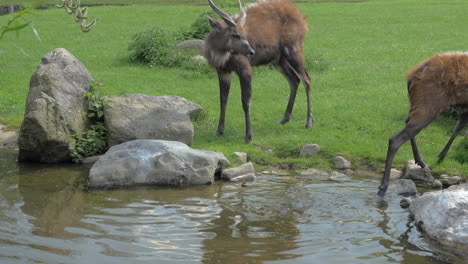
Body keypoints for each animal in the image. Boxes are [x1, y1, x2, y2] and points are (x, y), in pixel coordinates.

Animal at [207, 0, 312, 144]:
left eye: (243, 33)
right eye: (235, 34)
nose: (252, 52)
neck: (223, 56)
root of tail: (302, 17)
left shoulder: (245, 69)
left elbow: (246, 101)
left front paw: (248, 136)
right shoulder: (223, 71)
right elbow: (223, 99)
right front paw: (219, 131)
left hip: (294, 50)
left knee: (306, 79)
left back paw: (308, 122)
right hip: (279, 60)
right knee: (294, 80)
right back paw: (284, 119)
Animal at [378, 52, 468, 196]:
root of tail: (410, 77)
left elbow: (458, 127)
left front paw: (441, 157)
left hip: (419, 104)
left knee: (407, 122)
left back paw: (421, 162)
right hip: (430, 104)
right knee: (395, 139)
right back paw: (383, 187)